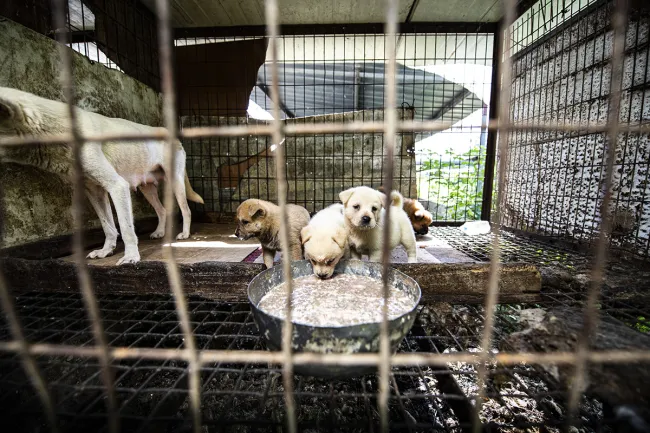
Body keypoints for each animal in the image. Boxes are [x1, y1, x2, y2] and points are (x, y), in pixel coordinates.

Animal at [0, 87, 204, 265]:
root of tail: (171, 133)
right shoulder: (94, 191)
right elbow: (108, 226)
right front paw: (106, 251)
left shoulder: (117, 185)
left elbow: (125, 227)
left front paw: (131, 256)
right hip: (147, 188)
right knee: (162, 210)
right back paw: (160, 232)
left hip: (175, 181)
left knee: (186, 209)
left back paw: (184, 234)